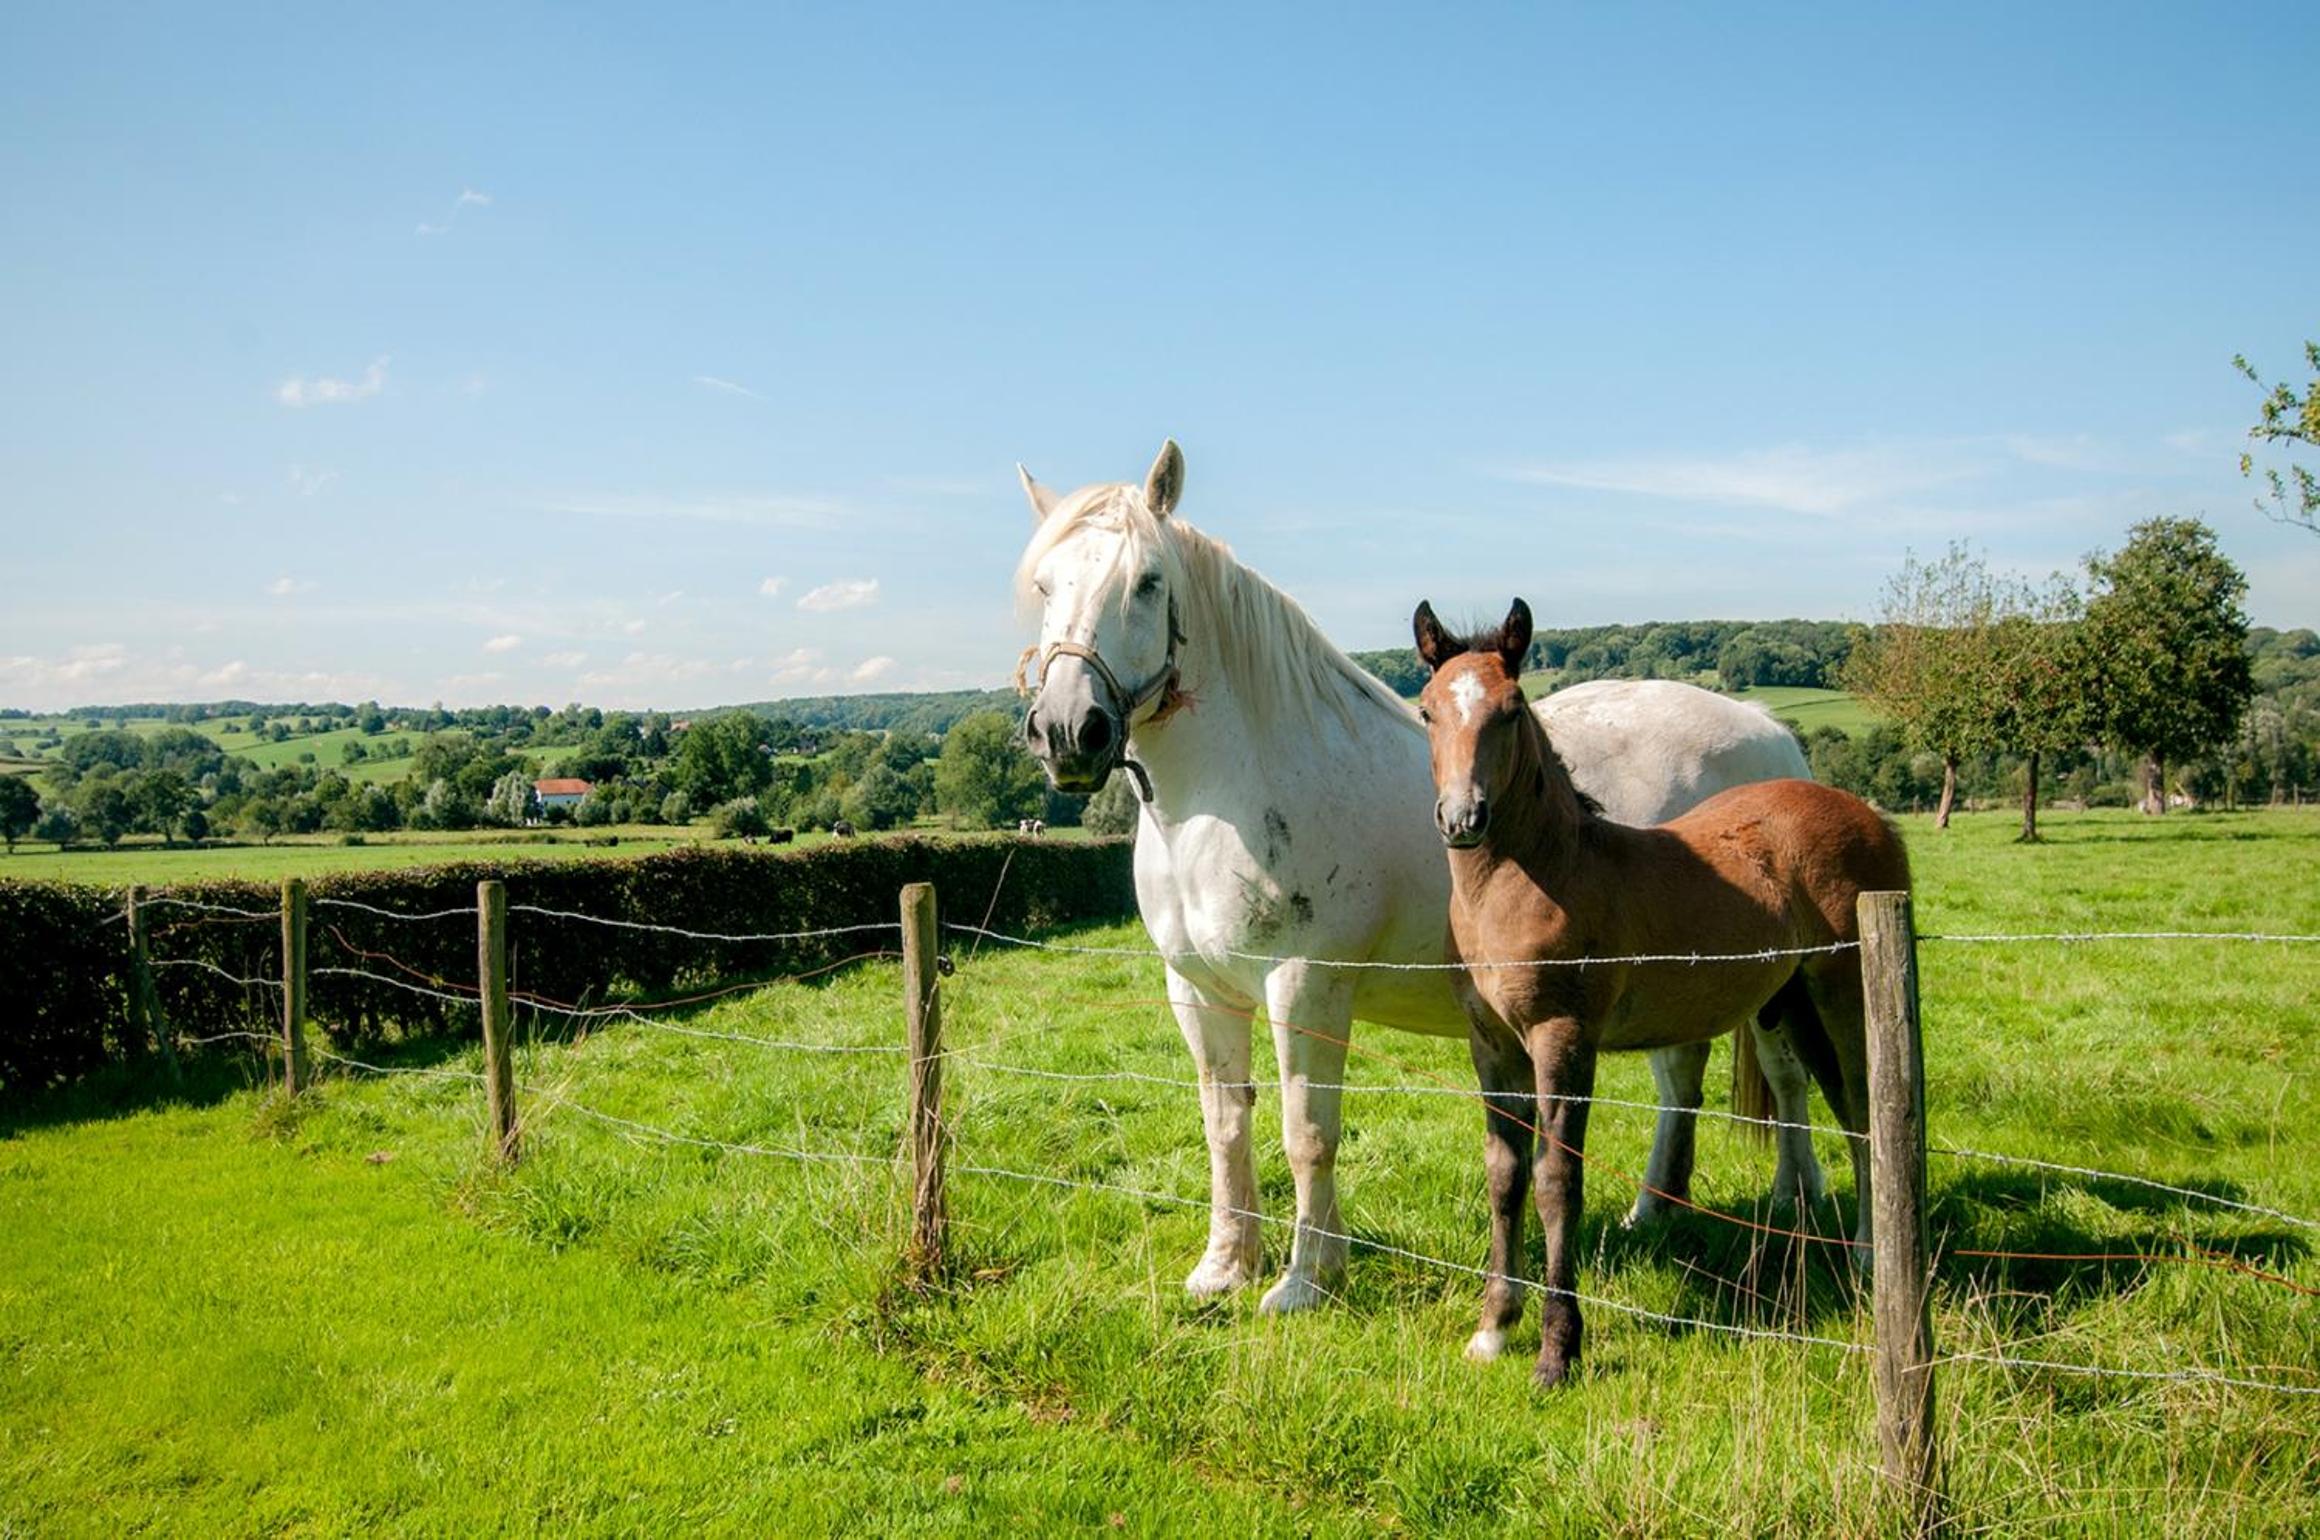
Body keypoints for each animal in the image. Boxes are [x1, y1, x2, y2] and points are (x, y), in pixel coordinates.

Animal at [1014, 440, 1820, 1313]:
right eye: (1046, 585)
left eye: (1149, 581)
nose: (1069, 731)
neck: (1227, 792)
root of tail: (1771, 733)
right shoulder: (1197, 989)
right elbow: (1226, 1124)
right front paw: (1226, 1267)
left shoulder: (1305, 985)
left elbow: (1307, 1133)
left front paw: (1305, 1281)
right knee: (1680, 1078)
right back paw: (1654, 1211)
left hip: (1775, 981)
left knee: (1786, 1079)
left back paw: (1799, 1208)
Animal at [1412, 597, 1910, 1386]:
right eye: (1428, 710)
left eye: (1512, 709)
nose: (1463, 819)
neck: (1543, 875)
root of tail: (1868, 813)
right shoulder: (1489, 1044)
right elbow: (1505, 1175)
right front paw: (1492, 1329)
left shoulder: (1564, 1037)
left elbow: (1557, 1180)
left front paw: (1558, 1351)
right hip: (1796, 1004)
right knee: (1836, 1101)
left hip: (1844, 992)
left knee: (1865, 1108)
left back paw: (1867, 1257)